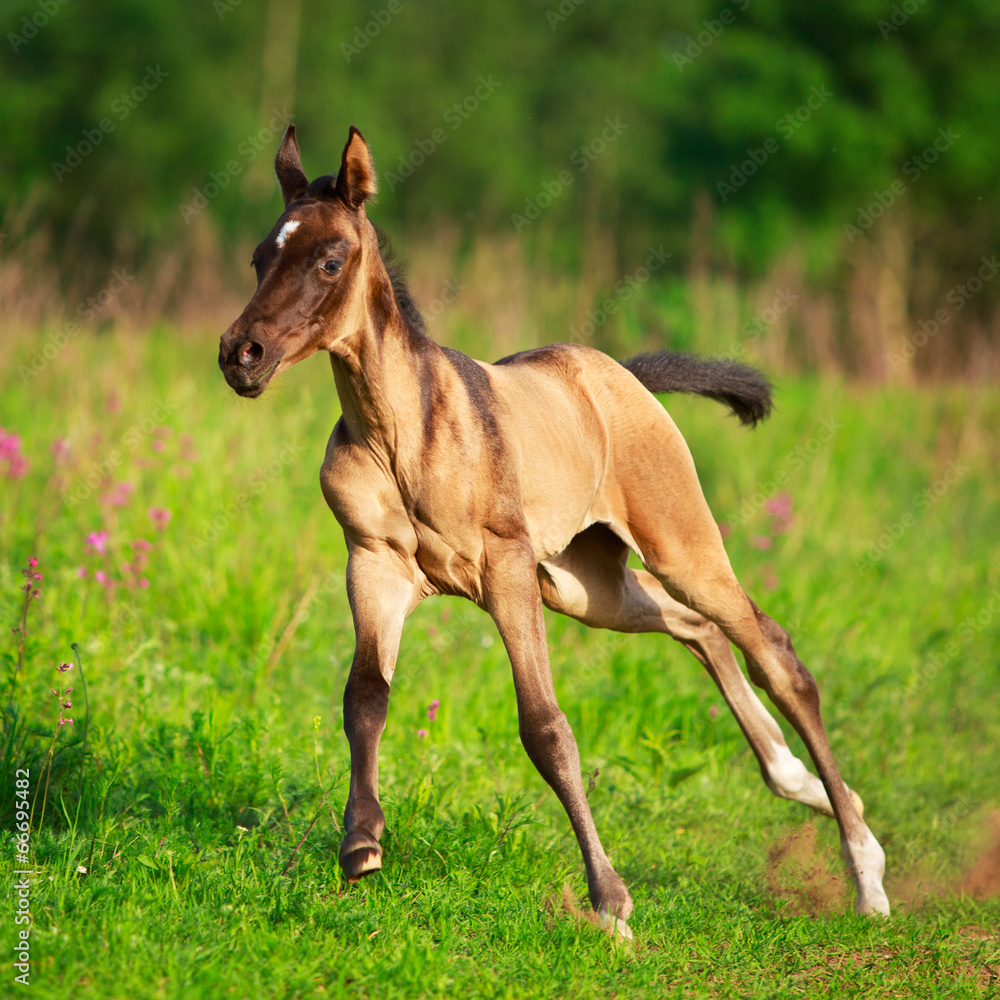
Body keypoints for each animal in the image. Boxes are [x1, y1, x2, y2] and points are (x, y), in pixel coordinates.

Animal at [218, 125, 889, 938]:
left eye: (328, 259)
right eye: (260, 257)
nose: (240, 355)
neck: (400, 434)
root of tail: (622, 374)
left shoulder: (504, 569)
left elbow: (545, 727)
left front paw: (611, 903)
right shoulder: (374, 565)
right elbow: (365, 697)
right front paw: (361, 845)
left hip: (675, 547)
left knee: (774, 652)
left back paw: (866, 871)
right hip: (584, 584)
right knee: (694, 626)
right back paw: (804, 784)